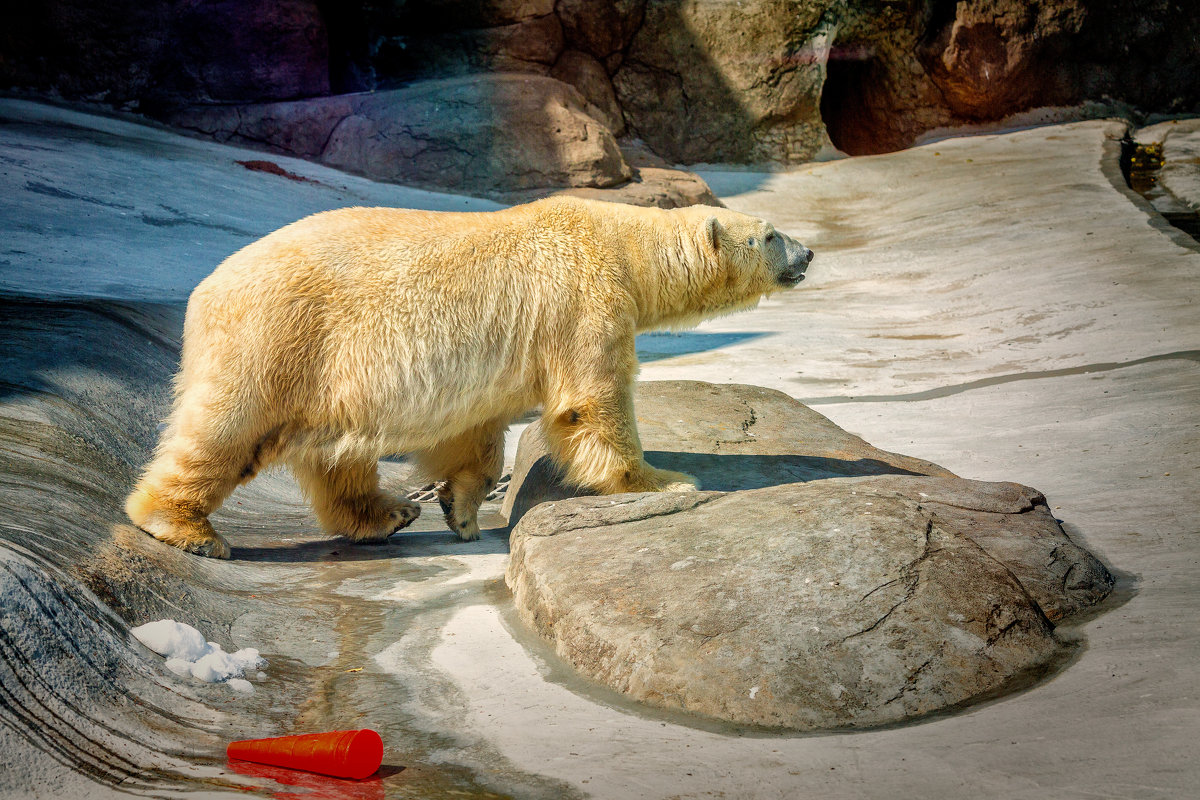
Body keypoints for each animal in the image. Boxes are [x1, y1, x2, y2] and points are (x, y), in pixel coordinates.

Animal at [124, 195, 816, 556]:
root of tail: (204, 291)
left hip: (325, 374)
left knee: (335, 454)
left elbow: (475, 435)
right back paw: (185, 527)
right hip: (278, 339)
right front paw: (662, 481)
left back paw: (388, 513)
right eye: (771, 234)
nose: (809, 253)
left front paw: (460, 509)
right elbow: (592, 402)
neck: (620, 240)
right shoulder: (584, 300)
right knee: (224, 430)